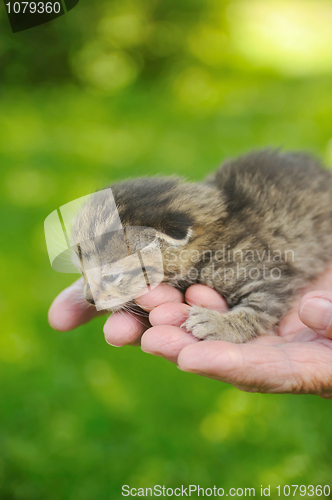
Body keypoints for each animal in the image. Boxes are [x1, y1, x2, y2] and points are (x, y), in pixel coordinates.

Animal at [69, 149, 332, 344]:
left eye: (112, 277)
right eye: (82, 272)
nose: (90, 299)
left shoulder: (271, 278)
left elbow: (257, 312)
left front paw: (218, 324)